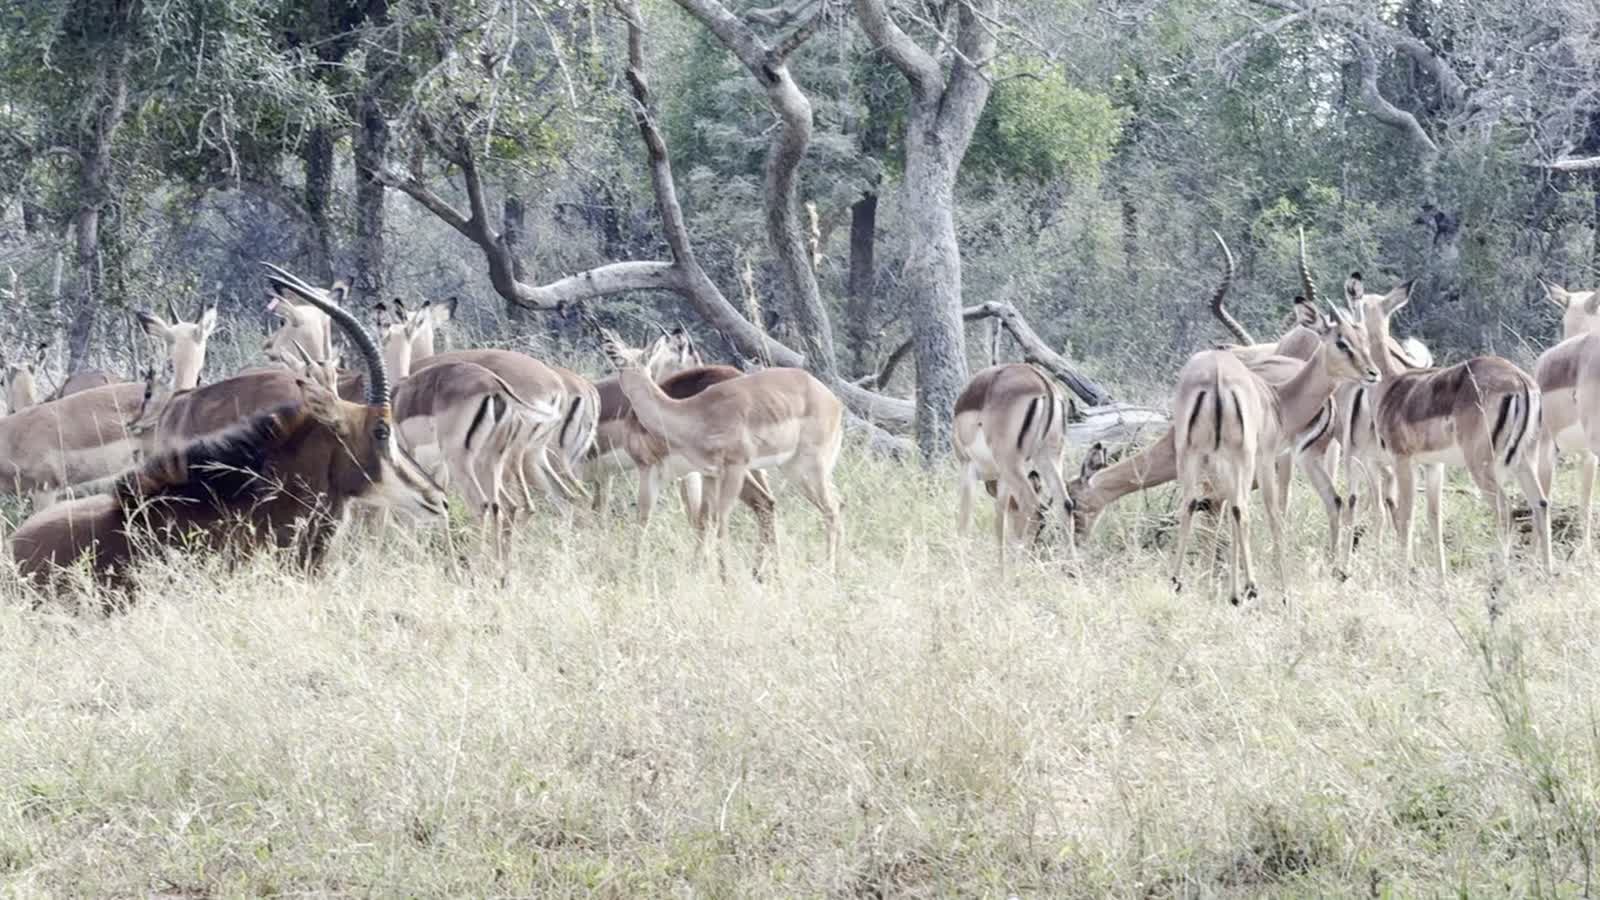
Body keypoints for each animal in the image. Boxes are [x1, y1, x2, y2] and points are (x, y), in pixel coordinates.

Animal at [601, 338, 844, 574]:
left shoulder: (734, 468)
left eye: (623, 360)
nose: (609, 350)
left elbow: (721, 519)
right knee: (832, 502)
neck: (695, 414)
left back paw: (826, 571)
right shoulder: (710, 474)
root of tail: (833, 400)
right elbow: (707, 518)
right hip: (795, 469)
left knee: (829, 509)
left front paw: (725, 576)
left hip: (811, 467)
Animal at [953, 363, 1074, 566]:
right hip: (1049, 456)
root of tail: (1043, 382)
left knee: (1033, 506)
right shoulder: (1002, 480)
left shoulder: (967, 468)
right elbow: (999, 524)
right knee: (1065, 504)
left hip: (1012, 464)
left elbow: (964, 522)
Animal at [1168, 298, 1380, 602]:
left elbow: (1224, 515)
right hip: (1245, 457)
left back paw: (1176, 581)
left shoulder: (1225, 462)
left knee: (1191, 504)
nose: (1373, 373)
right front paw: (1279, 590)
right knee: (1242, 509)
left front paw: (1231, 590)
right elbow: (1273, 514)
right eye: (1342, 342)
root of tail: (1216, 376)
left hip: (1190, 453)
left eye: (1363, 338)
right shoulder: (1267, 458)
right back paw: (1253, 587)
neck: (1278, 400)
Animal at [1356, 279, 1551, 575]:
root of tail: (1520, 381)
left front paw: (1402, 575)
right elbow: (1434, 518)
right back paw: (1546, 574)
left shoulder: (1403, 460)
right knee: (1540, 504)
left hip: (1482, 465)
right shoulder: (1434, 465)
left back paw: (1500, 577)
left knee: (1505, 512)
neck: (1391, 386)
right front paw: (1440, 578)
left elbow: (1406, 517)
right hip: (1525, 459)